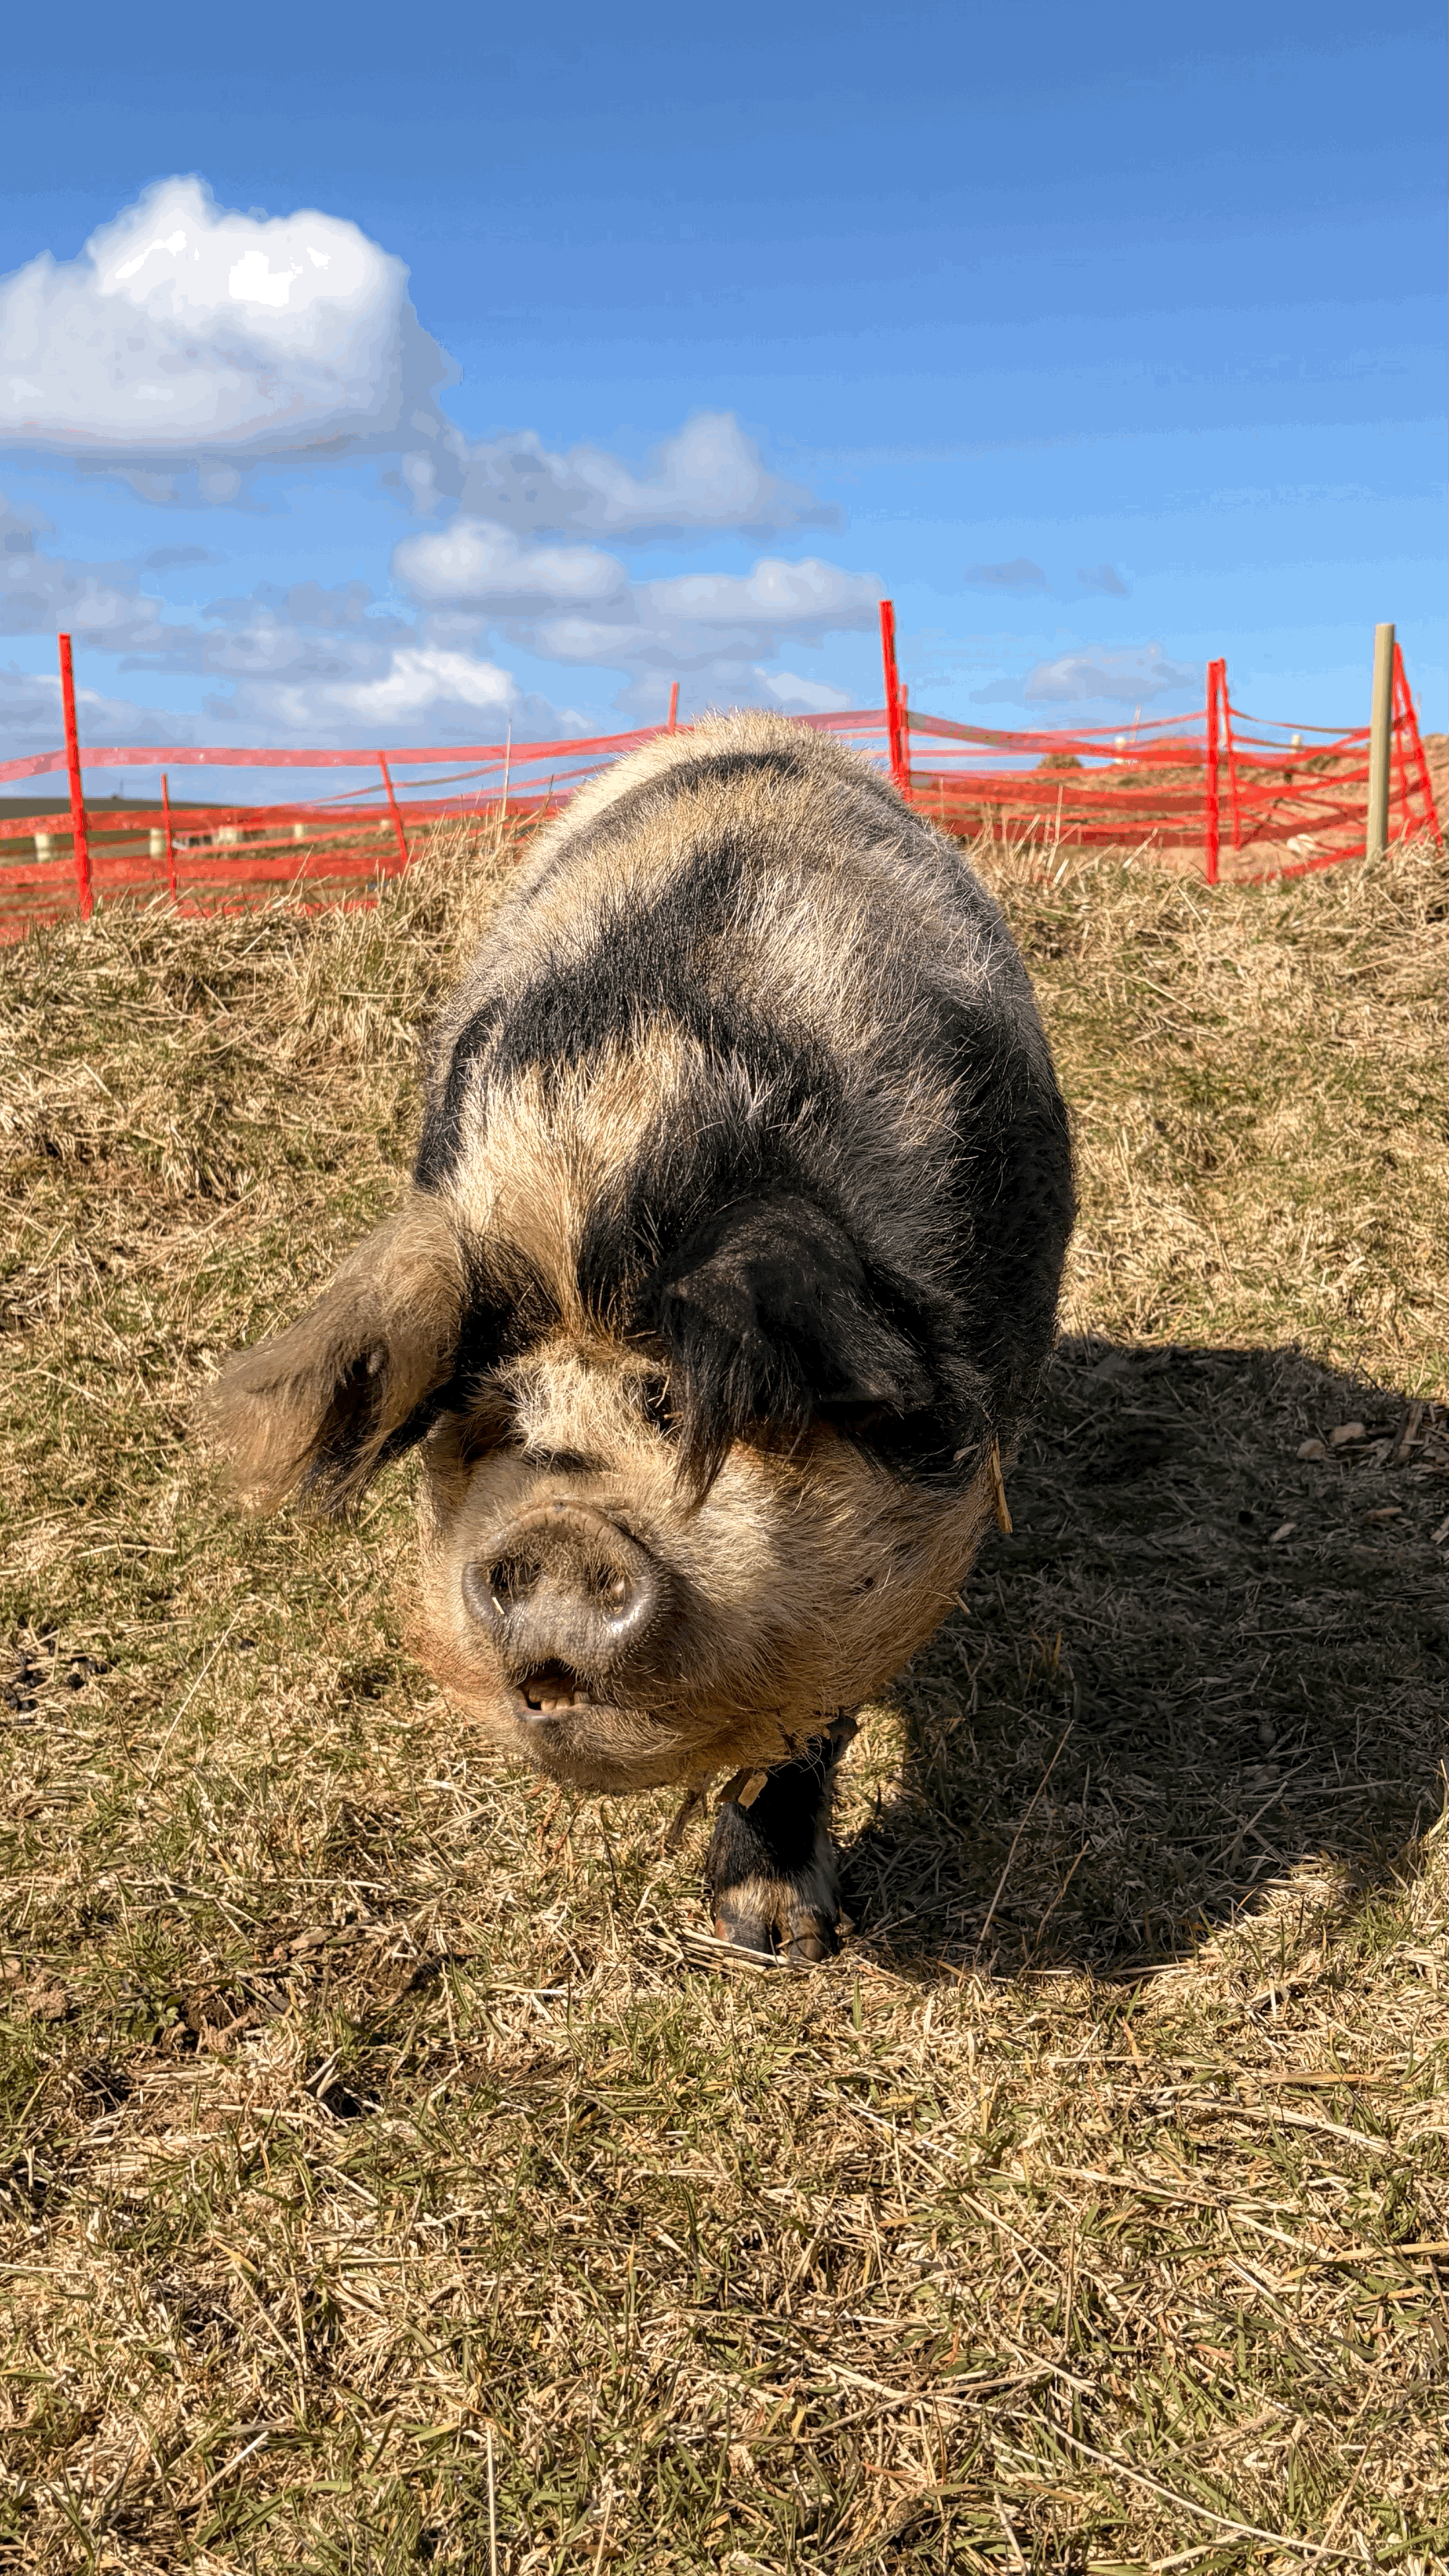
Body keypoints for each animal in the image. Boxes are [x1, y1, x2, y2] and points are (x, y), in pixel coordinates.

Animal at [208, 712, 1074, 1960]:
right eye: (497, 1411)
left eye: (674, 1403)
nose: (562, 1531)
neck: (619, 1162)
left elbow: (811, 1716)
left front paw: (773, 1942)